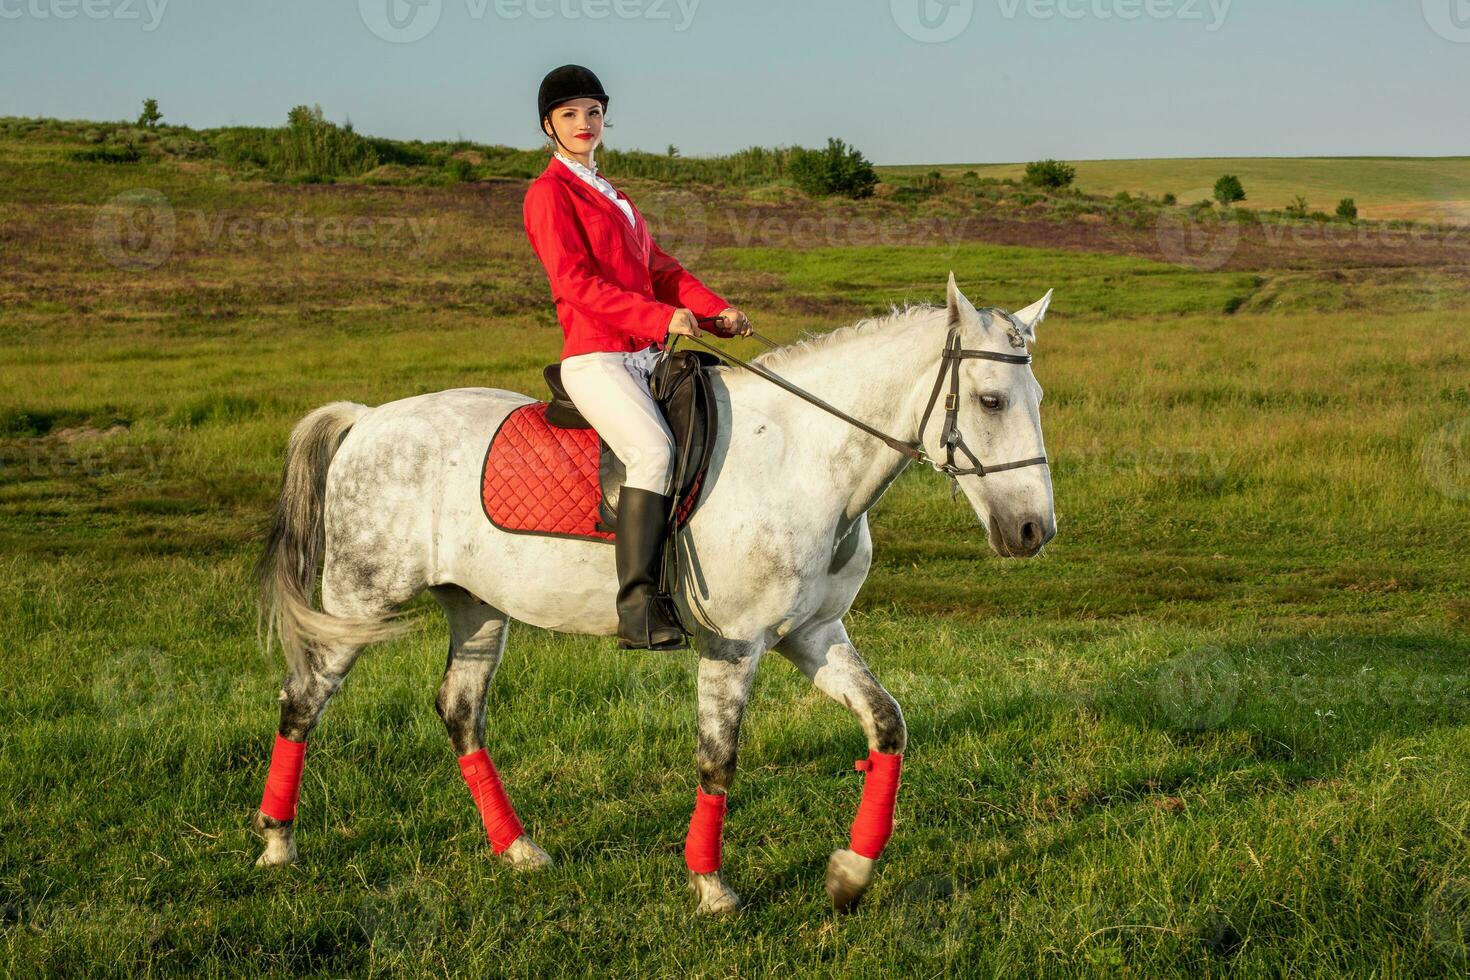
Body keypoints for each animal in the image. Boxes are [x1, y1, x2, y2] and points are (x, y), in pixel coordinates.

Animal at [252, 271, 1058, 916]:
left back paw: (518, 850)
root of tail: (367, 419)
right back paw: (277, 845)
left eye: (1039, 398)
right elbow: (718, 759)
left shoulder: (814, 635)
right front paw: (711, 888)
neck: (800, 457)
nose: (1032, 530)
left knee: (459, 708)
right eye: (991, 400)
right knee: (304, 699)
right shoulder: (734, 645)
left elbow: (887, 725)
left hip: (477, 609)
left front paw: (849, 876)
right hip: (360, 601)